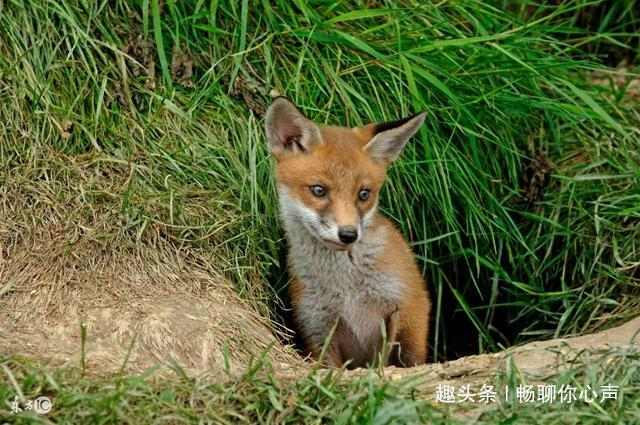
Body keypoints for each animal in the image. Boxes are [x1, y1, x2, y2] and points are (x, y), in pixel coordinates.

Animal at [264, 96, 430, 368]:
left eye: (363, 194)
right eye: (318, 190)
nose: (349, 234)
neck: (347, 284)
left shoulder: (410, 305)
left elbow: (406, 358)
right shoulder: (317, 326)